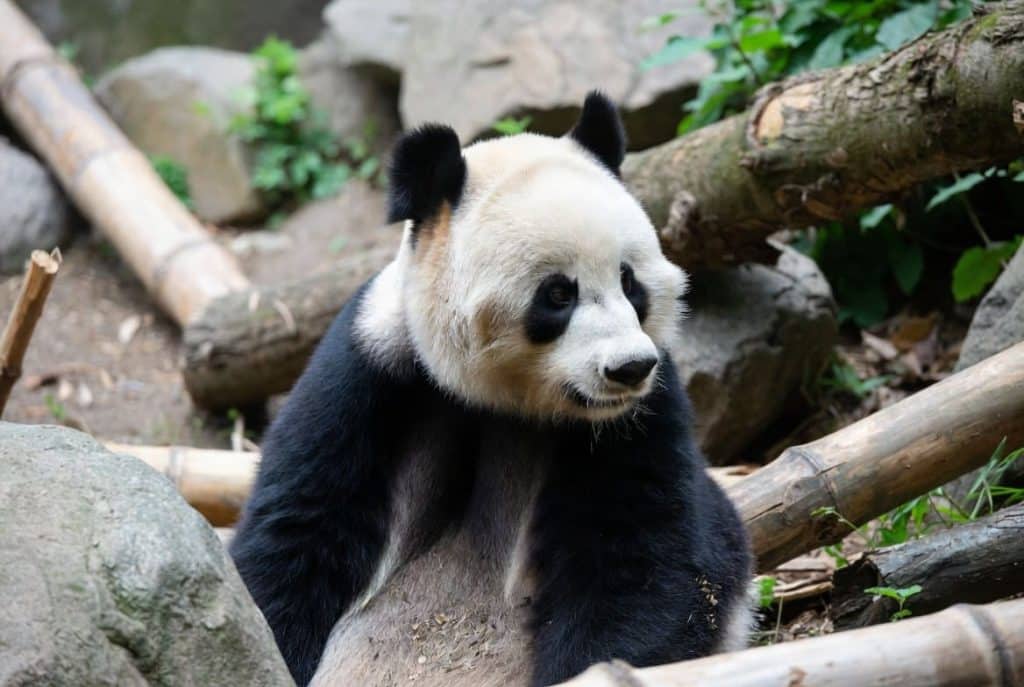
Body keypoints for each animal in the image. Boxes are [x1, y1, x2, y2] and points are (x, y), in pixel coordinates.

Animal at [230, 92, 753, 687]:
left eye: (630, 281)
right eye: (558, 294)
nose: (629, 368)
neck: (502, 400)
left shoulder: (643, 416)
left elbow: (643, 557)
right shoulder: (371, 370)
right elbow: (301, 533)